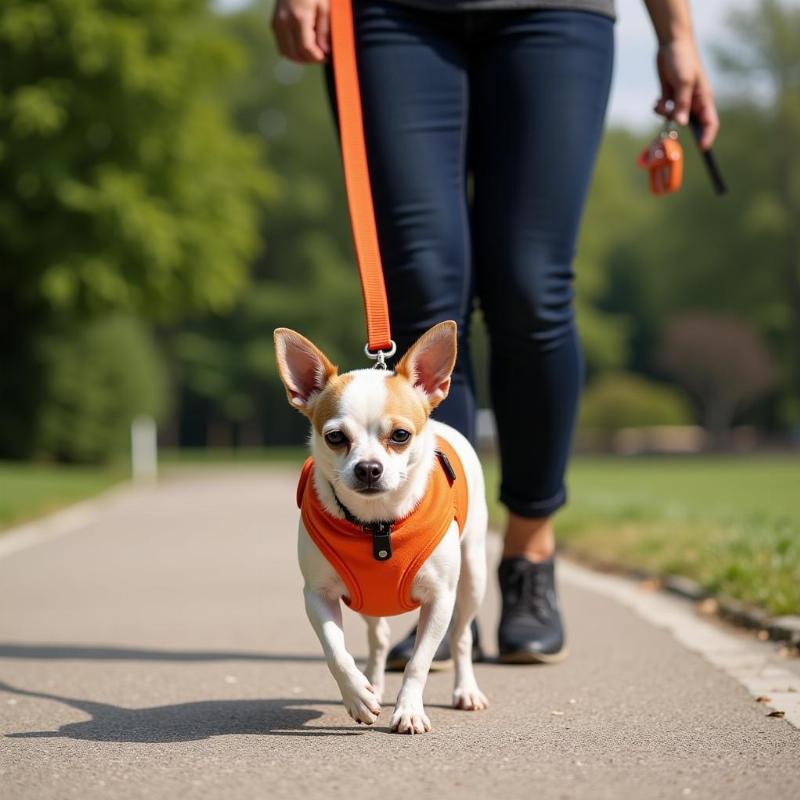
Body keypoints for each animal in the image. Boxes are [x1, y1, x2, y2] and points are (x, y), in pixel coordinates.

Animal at [276, 322, 488, 736]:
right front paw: (358, 695)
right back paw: (372, 683)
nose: (369, 468)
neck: (378, 523)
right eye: (335, 437)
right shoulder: (318, 596)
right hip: (365, 598)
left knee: (460, 637)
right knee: (378, 638)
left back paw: (466, 690)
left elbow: (419, 662)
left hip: (473, 577)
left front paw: (408, 711)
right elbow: (336, 652)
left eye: (400, 436)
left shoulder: (440, 599)